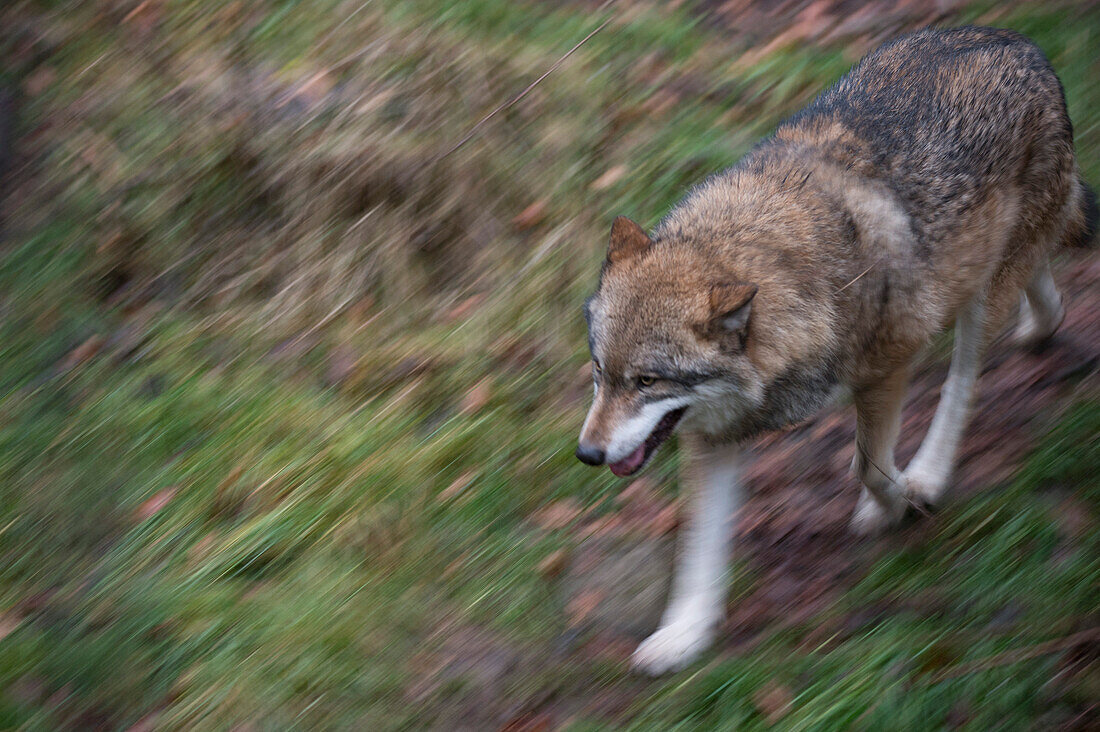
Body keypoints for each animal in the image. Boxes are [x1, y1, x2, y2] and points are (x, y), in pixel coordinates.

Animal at [576, 29, 1091, 678]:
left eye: (647, 381)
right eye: (601, 373)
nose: (587, 454)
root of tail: (1021, 44)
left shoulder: (887, 369)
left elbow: (868, 466)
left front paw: (896, 503)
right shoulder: (714, 438)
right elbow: (698, 550)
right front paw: (684, 636)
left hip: (972, 306)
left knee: (963, 381)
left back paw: (927, 474)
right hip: (987, 270)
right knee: (1044, 282)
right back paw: (1044, 324)